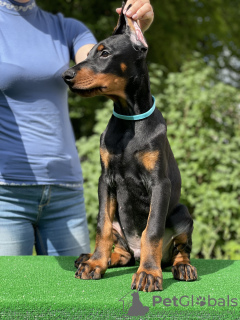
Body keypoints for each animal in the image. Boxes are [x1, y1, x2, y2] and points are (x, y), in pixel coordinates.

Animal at [62, 3, 197, 292]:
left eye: (105, 53)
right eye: (88, 53)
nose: (66, 76)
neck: (128, 120)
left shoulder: (159, 183)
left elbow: (152, 230)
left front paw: (149, 273)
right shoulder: (105, 180)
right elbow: (101, 226)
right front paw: (95, 264)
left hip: (181, 214)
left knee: (181, 249)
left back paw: (181, 267)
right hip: (120, 226)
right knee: (122, 251)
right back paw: (92, 258)